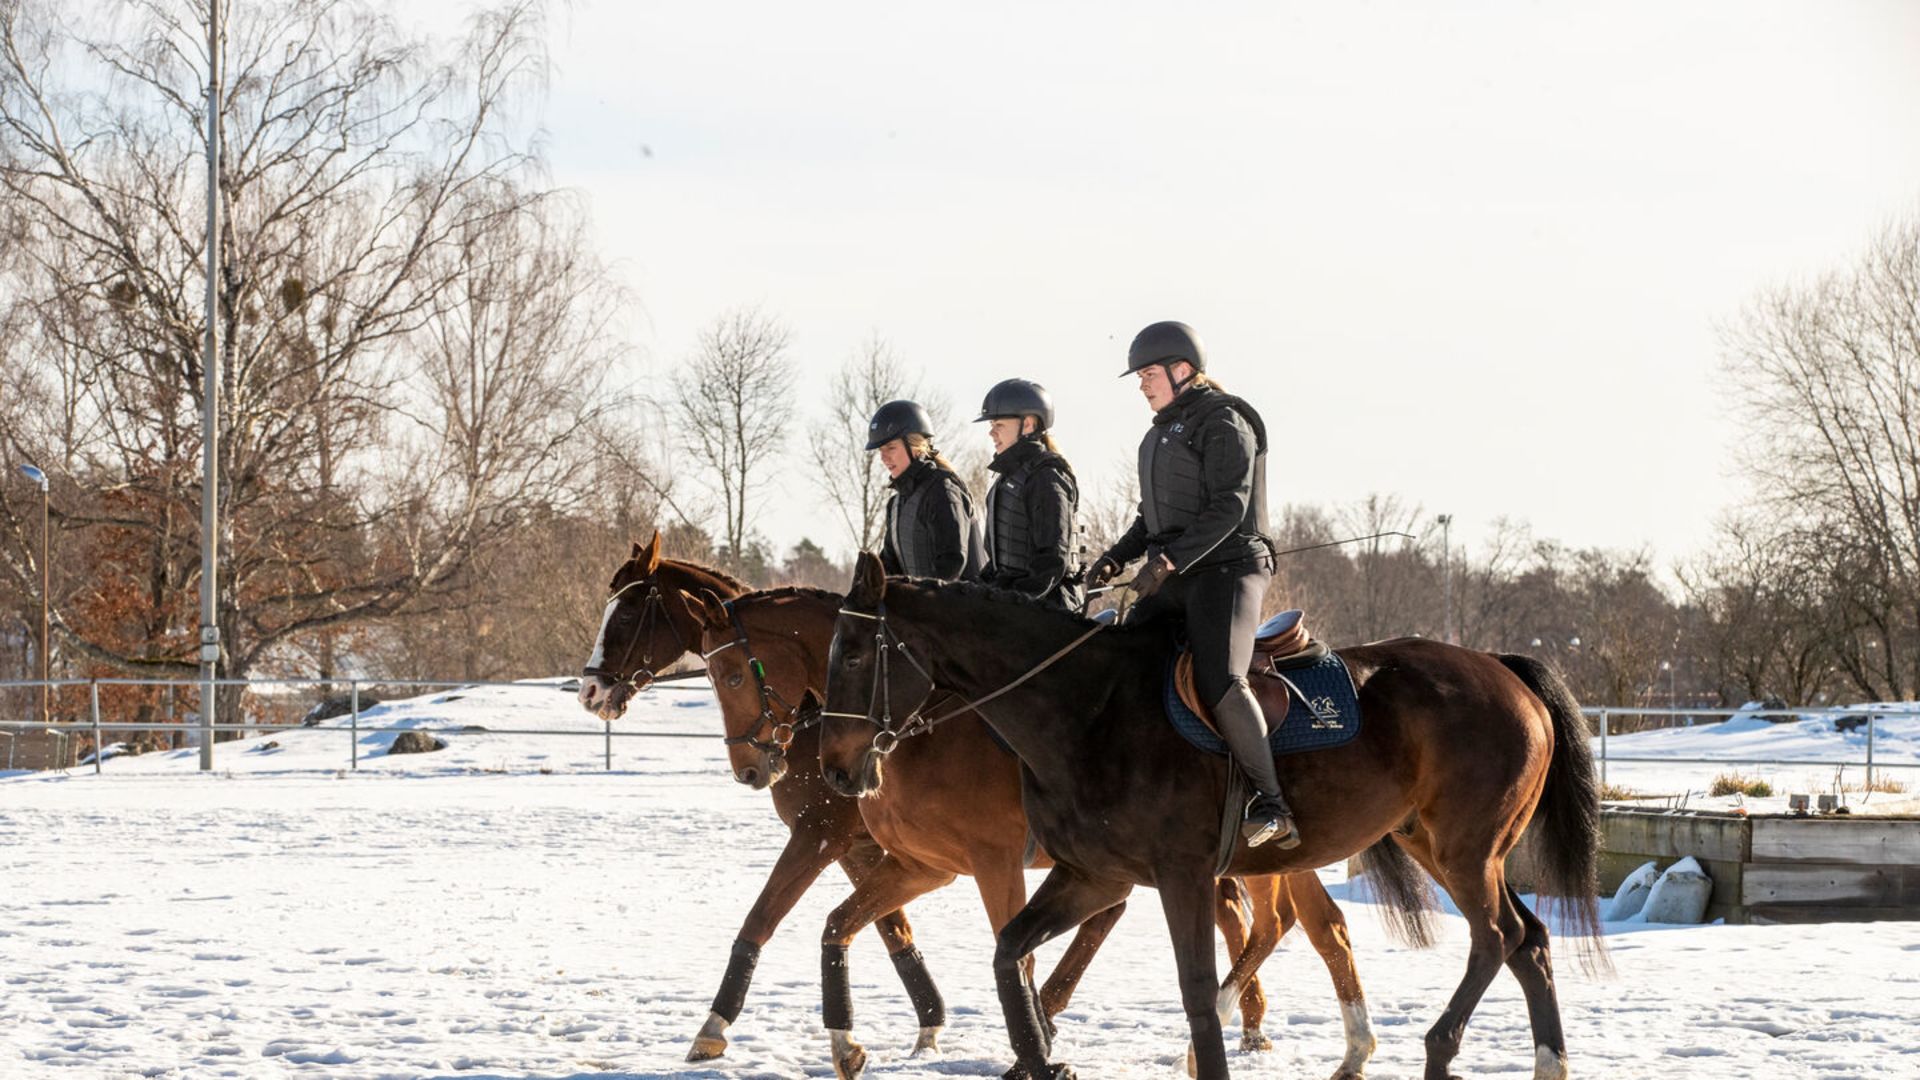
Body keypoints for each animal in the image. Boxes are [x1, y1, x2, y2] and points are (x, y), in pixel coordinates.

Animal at [576, 534, 952, 1053]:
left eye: (629, 612)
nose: (589, 691)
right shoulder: (853, 847)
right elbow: (891, 925)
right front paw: (929, 1025)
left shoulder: (819, 835)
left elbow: (762, 917)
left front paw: (714, 1025)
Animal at [675, 580, 1382, 1076]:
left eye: (731, 673)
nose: (751, 767)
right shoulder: (918, 863)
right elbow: (850, 924)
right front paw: (867, 1039)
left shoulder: (940, 853)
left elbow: (774, 916)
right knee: (1300, 924)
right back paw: (1305, 1037)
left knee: (1288, 923)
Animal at [814, 549, 1605, 1076]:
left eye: (852, 653)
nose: (833, 768)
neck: (1087, 709)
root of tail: (1500, 667)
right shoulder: (1092, 875)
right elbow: (1012, 956)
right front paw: (1043, 1060)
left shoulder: (1180, 875)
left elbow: (1194, 992)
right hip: (1436, 845)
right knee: (1528, 941)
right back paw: (1545, 1062)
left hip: (1466, 849)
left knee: (1497, 936)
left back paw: (1439, 1048)